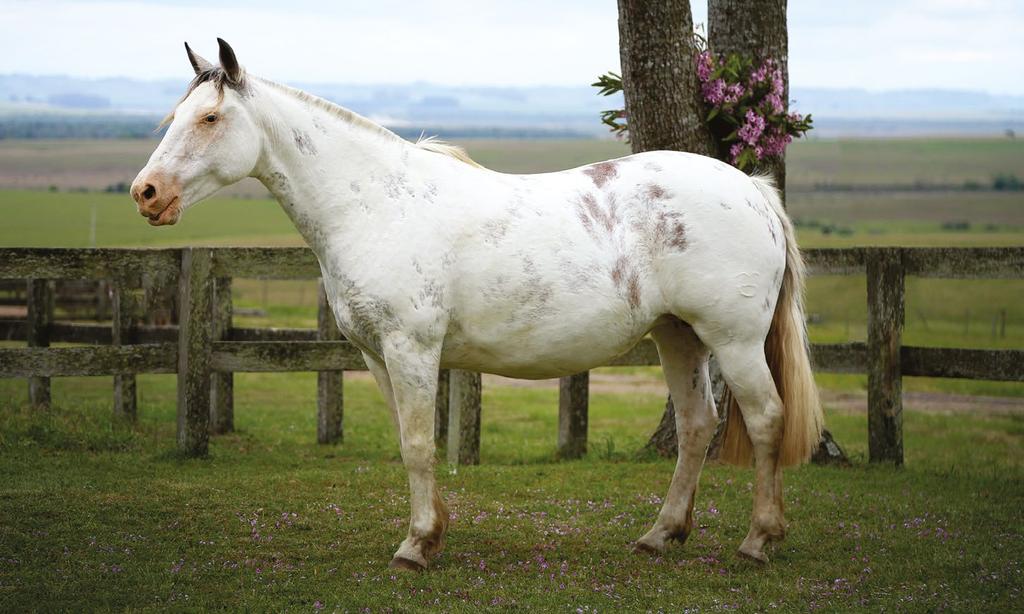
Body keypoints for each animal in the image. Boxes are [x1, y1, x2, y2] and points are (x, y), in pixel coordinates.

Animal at [134, 39, 823, 568]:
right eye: (178, 113)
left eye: (210, 119)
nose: (147, 193)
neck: (374, 203)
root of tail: (753, 189)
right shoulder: (378, 356)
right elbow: (406, 439)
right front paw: (433, 530)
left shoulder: (412, 350)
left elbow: (418, 444)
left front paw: (416, 547)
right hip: (677, 334)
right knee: (697, 425)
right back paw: (660, 535)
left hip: (733, 341)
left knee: (765, 419)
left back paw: (757, 540)